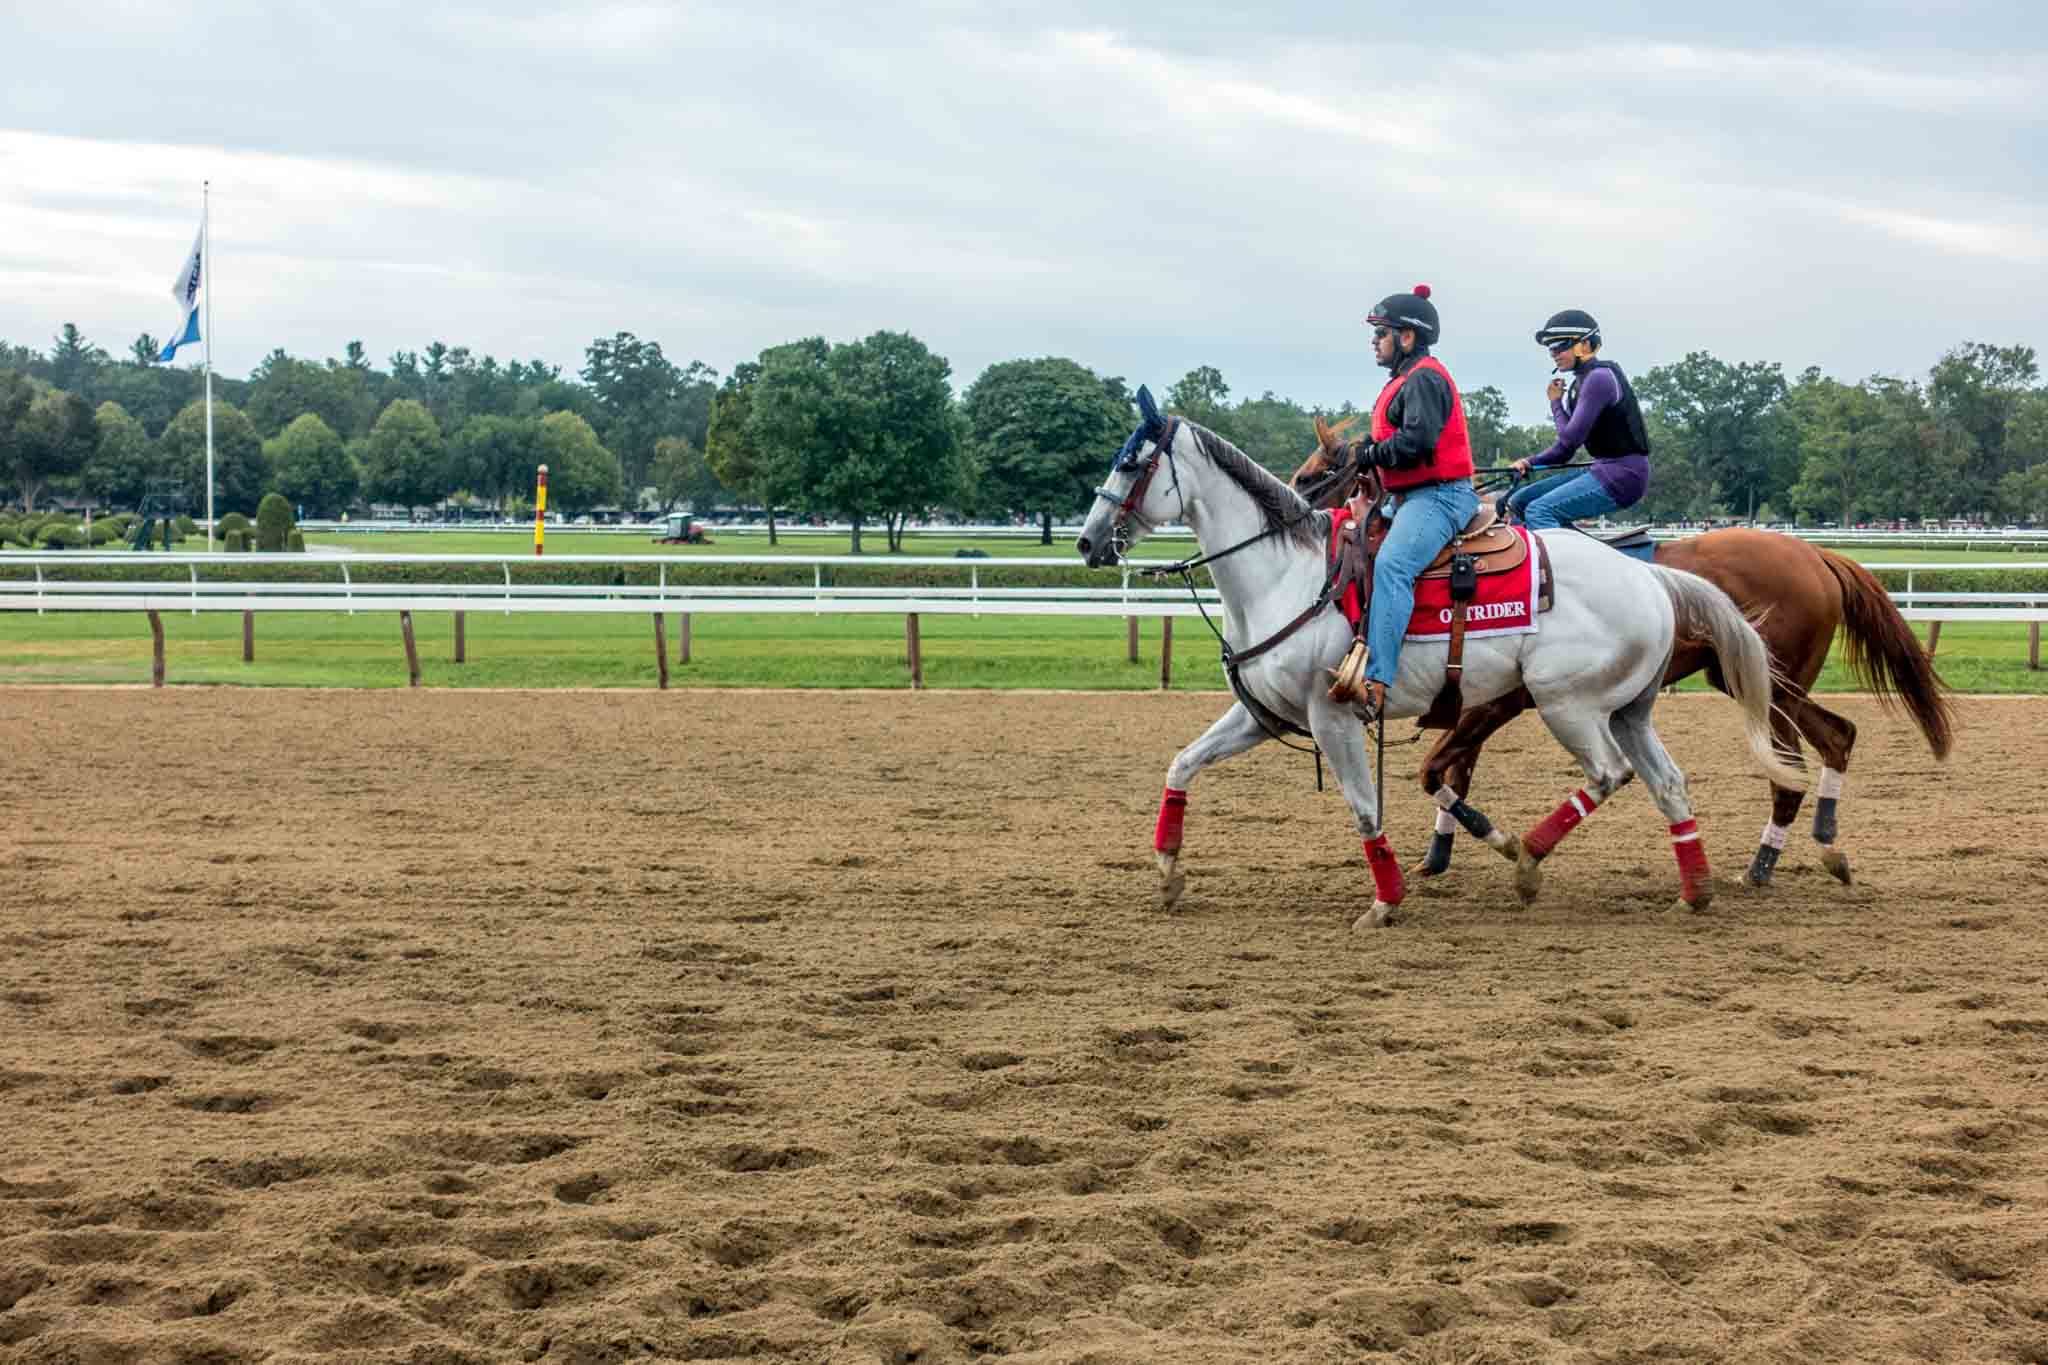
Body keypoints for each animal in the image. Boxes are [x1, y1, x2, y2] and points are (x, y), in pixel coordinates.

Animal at [1081, 388, 1802, 933]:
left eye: (1131, 462)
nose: (1088, 542)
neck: (1288, 574)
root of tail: (1649, 576)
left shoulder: (1332, 717)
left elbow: (1365, 808)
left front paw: (1386, 898)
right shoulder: (1263, 715)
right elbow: (1182, 763)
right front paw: (1168, 872)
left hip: (1568, 705)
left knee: (1608, 774)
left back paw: (1527, 857)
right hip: (1629, 709)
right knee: (1669, 783)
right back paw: (1694, 889)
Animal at [1286, 435, 1957, 888]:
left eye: (1320, 469)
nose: (1295, 500)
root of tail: (1817, 555)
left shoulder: (1494, 701)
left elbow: (1444, 768)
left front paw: (1474, 846)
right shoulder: (1479, 699)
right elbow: (1452, 770)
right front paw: (1441, 853)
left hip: (1772, 688)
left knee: (1795, 762)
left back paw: (1766, 862)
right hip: (1759, 682)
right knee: (1835, 737)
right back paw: (1816, 848)